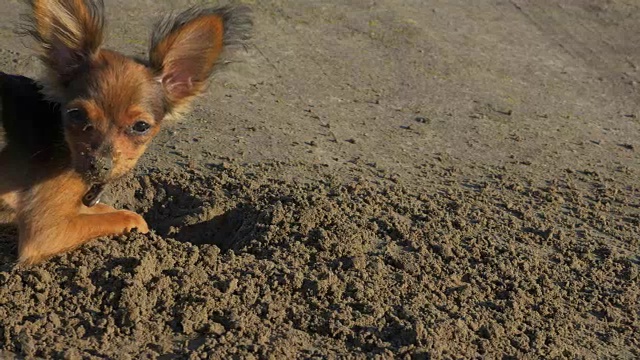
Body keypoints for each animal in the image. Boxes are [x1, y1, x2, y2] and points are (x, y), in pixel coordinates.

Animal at [0, 0, 252, 264]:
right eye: (76, 114)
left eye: (141, 126)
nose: (98, 165)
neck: (64, 145)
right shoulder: (46, 230)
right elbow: (127, 217)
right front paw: (135, 223)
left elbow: (102, 209)